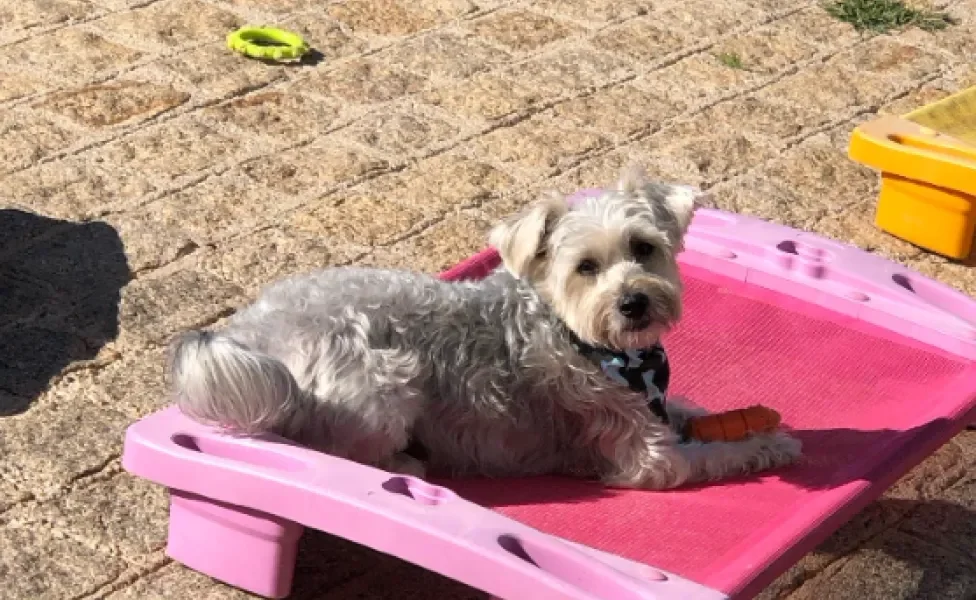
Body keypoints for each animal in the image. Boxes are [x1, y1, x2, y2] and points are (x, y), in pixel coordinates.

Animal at [168, 166, 800, 490]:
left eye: (644, 248)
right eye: (585, 268)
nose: (633, 303)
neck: (588, 343)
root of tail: (251, 335)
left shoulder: (657, 407)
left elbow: (695, 414)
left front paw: (756, 422)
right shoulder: (646, 458)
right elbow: (711, 457)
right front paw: (771, 444)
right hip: (384, 383)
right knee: (341, 450)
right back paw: (404, 466)